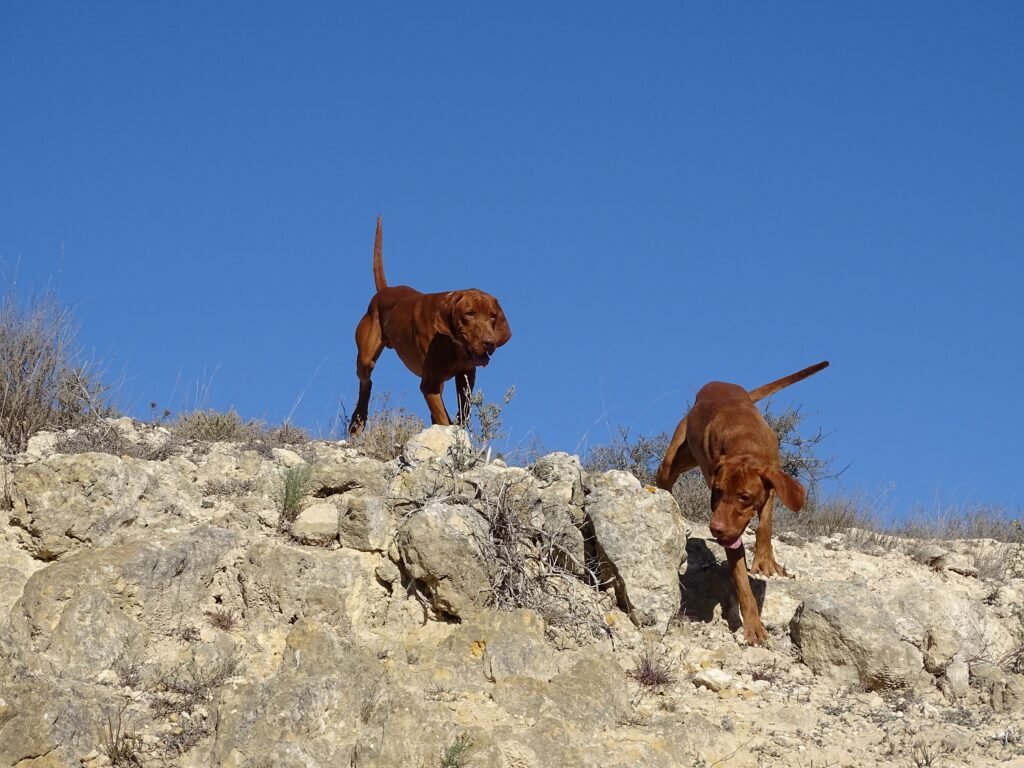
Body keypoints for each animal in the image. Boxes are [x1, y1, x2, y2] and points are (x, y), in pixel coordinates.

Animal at [350, 218, 512, 434]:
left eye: (493, 316)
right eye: (469, 313)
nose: (489, 343)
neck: (454, 343)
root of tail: (384, 291)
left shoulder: (466, 375)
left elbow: (464, 410)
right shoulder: (431, 383)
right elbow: (443, 417)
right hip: (366, 358)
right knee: (366, 382)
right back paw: (358, 419)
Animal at [655, 360, 831, 643]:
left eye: (745, 497)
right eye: (716, 492)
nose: (716, 529)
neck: (745, 443)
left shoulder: (772, 482)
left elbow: (765, 524)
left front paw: (765, 560)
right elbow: (741, 581)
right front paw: (753, 626)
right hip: (675, 457)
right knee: (665, 478)